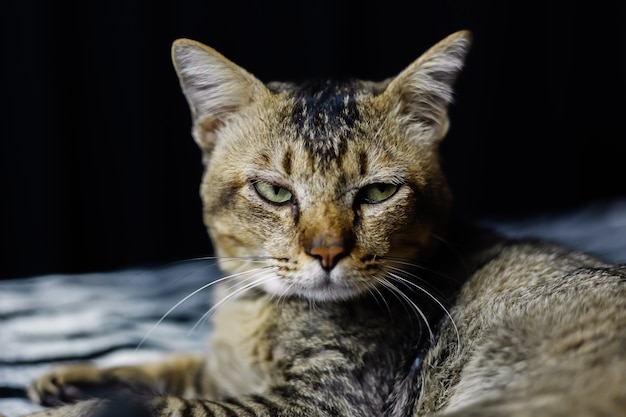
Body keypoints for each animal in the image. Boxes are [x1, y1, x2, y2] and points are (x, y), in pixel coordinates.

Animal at [17, 30, 624, 416]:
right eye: (274, 191)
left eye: (378, 192)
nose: (327, 252)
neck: (255, 310)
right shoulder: (225, 369)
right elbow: (171, 366)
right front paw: (73, 377)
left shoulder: (324, 401)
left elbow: (173, 406)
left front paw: (70, 408)